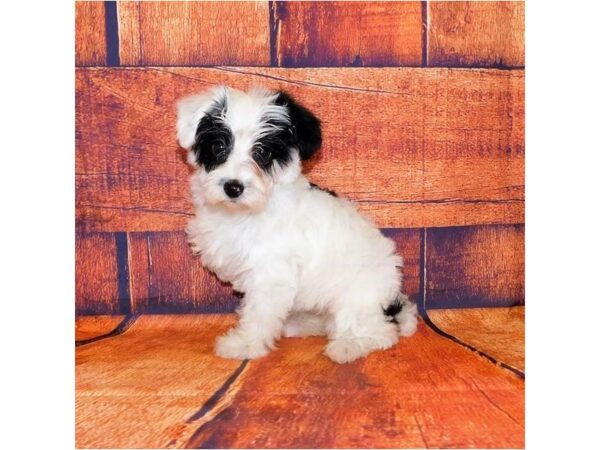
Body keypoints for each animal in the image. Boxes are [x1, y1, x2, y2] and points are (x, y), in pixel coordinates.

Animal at [176, 86, 414, 364]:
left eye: (262, 152)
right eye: (219, 146)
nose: (233, 187)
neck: (243, 212)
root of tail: (395, 301)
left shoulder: (271, 273)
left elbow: (259, 311)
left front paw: (245, 343)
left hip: (358, 295)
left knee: (381, 332)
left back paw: (348, 346)